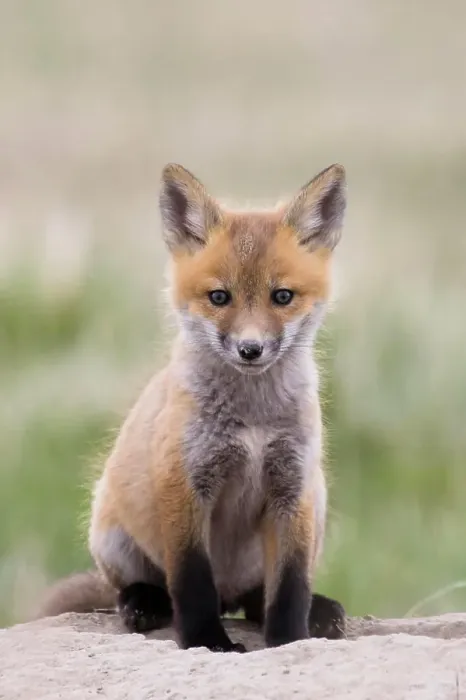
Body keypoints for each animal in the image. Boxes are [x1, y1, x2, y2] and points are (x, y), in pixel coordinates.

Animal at [34, 162, 348, 653]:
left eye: (282, 297)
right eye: (219, 297)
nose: (251, 350)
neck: (251, 422)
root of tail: (231, 594)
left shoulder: (293, 487)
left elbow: (291, 586)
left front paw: (289, 640)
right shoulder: (184, 483)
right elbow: (192, 582)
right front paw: (208, 641)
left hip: (316, 502)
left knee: (258, 600)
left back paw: (313, 609)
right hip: (110, 531)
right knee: (140, 588)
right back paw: (143, 604)